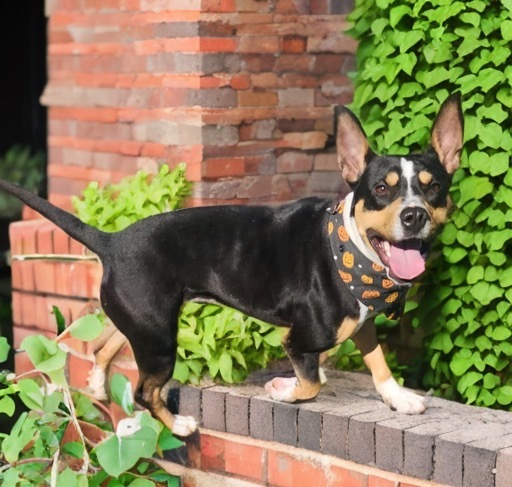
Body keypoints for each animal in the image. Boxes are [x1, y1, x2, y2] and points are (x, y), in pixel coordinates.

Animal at [0, 93, 464, 436]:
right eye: (381, 190)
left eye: (434, 188)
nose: (414, 215)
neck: (350, 251)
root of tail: (111, 241)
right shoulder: (298, 340)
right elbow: (311, 384)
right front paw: (282, 388)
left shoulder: (361, 321)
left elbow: (377, 360)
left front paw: (397, 396)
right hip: (161, 340)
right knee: (145, 391)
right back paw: (179, 425)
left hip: (145, 322)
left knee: (103, 344)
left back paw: (97, 380)